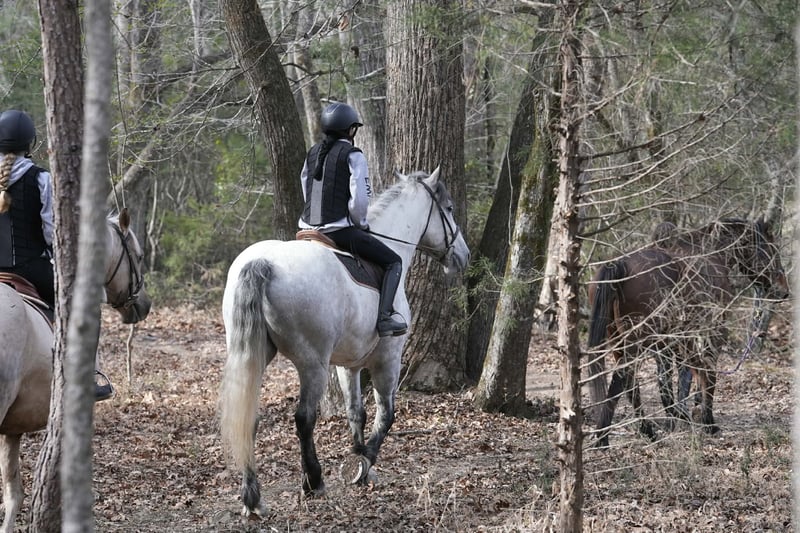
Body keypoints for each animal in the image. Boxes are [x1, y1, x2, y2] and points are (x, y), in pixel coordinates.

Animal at [219, 167, 470, 518]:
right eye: (448, 208)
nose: (463, 256)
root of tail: (262, 264)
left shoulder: (347, 365)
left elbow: (356, 412)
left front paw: (358, 456)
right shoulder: (388, 358)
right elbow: (386, 414)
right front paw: (366, 465)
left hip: (254, 353)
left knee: (248, 419)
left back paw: (252, 497)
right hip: (312, 362)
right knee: (304, 418)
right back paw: (313, 481)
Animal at [586, 217, 789, 448]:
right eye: (772, 250)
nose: (783, 291)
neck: (713, 256)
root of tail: (619, 265)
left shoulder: (678, 338)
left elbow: (681, 377)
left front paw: (683, 415)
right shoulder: (713, 330)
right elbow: (706, 373)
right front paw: (708, 421)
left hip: (618, 340)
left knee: (630, 383)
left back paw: (641, 431)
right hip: (635, 340)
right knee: (623, 380)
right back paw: (608, 437)